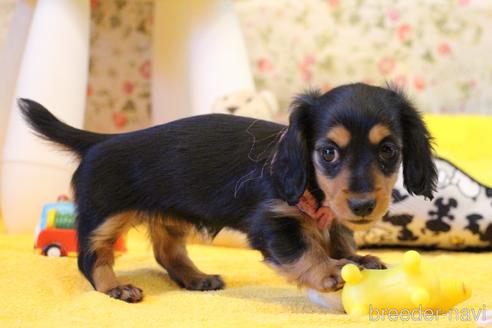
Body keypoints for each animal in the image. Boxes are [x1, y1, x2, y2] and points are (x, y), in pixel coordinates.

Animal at [19, 83, 436, 304]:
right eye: (328, 152)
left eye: (389, 150)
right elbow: (306, 249)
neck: (312, 187)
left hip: (169, 214)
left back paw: (196, 278)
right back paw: (115, 287)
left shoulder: (332, 216)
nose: (363, 205)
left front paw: (356, 257)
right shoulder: (273, 221)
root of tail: (98, 141)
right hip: (105, 216)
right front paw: (331, 269)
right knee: (90, 258)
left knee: (167, 252)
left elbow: (337, 237)